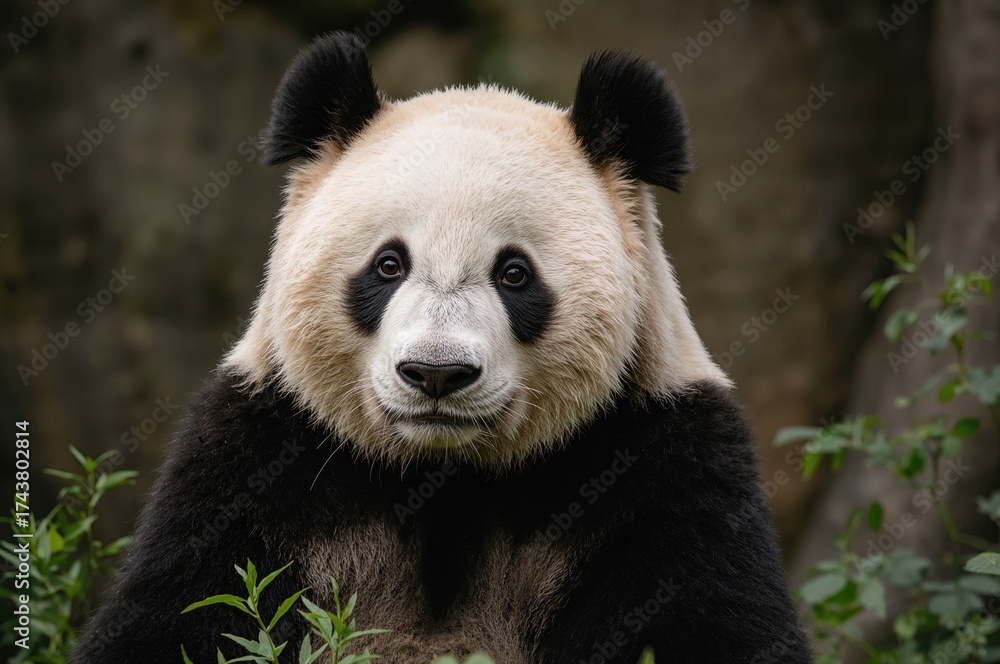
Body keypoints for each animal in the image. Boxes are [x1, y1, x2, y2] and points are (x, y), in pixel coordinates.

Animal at [71, 32, 812, 664]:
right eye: (388, 265)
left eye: (514, 273)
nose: (435, 373)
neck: (445, 480)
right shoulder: (258, 463)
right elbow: (182, 611)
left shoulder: (659, 462)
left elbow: (711, 615)